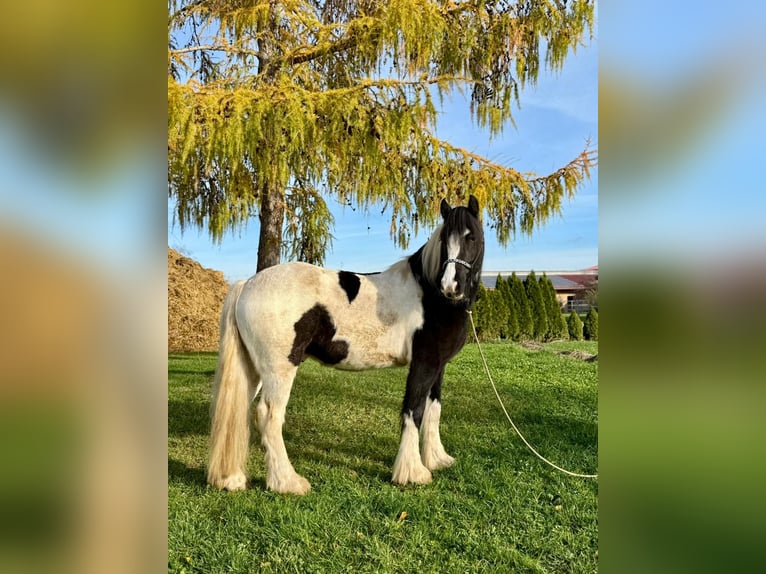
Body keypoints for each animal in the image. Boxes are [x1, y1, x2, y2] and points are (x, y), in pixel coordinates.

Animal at [207, 195, 485, 494]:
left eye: (471, 237)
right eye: (445, 240)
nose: (451, 287)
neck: (430, 295)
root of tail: (247, 284)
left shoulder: (438, 366)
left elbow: (434, 409)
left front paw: (437, 459)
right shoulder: (423, 365)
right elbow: (414, 411)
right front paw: (412, 473)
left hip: (253, 369)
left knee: (237, 415)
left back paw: (231, 479)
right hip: (279, 369)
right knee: (268, 416)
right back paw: (288, 482)